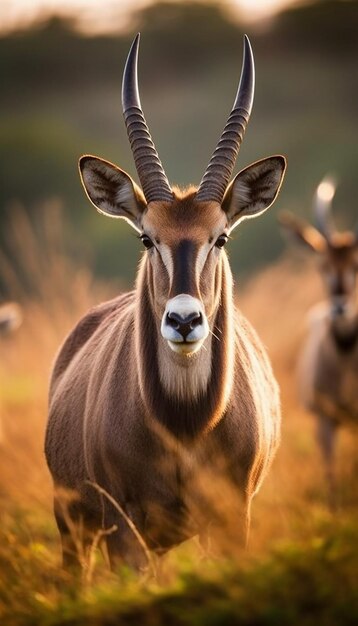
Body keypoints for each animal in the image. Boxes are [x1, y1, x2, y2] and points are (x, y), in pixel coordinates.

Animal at [44, 35, 286, 572]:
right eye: (146, 238)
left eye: (220, 237)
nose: (183, 320)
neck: (185, 425)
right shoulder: (125, 529)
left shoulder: (232, 518)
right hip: (75, 526)